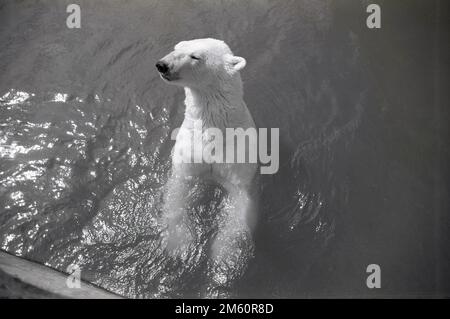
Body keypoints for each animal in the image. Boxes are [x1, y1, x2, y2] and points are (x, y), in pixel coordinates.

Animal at [157, 38, 256, 298]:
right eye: (177, 47)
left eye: (195, 56)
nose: (162, 65)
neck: (215, 128)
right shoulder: (189, 152)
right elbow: (178, 190)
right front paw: (181, 244)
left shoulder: (236, 161)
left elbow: (239, 206)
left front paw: (223, 256)